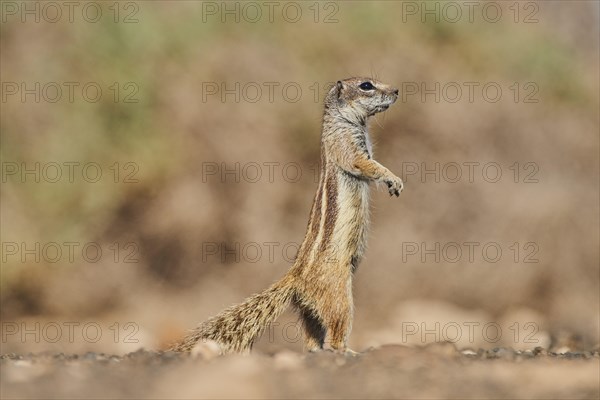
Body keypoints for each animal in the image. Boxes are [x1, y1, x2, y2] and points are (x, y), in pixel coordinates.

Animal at [169, 77, 404, 354]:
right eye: (366, 85)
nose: (396, 91)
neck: (345, 121)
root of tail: (296, 278)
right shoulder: (346, 146)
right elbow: (366, 165)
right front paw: (393, 179)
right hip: (339, 296)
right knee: (335, 332)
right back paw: (347, 350)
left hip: (308, 309)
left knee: (311, 334)